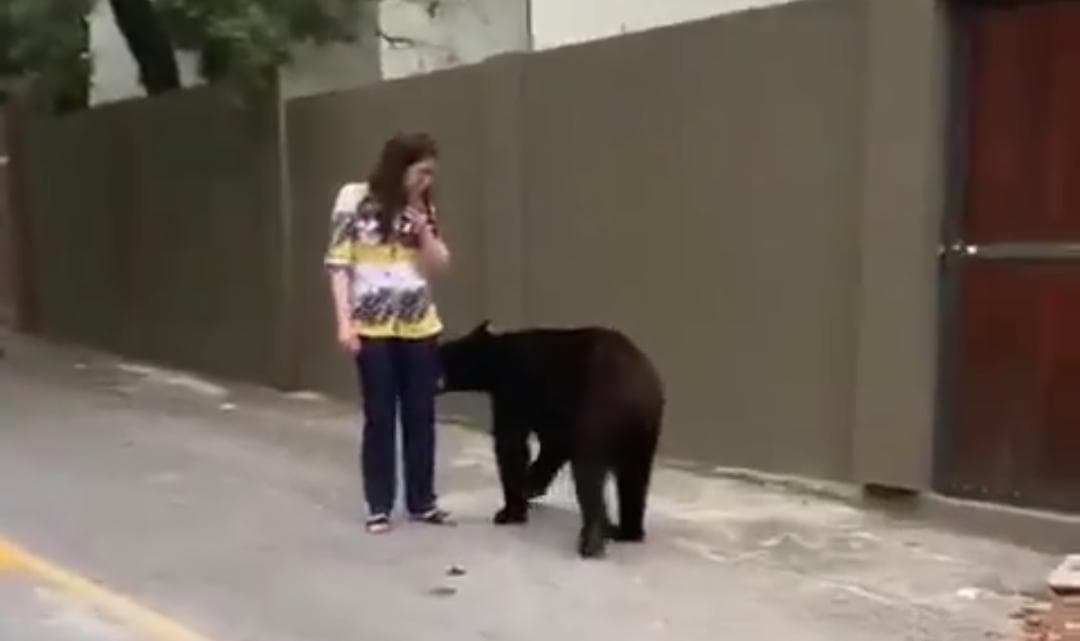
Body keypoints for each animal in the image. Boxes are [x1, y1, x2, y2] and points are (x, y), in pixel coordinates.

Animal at [437, 321, 664, 559]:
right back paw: (626, 531)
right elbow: (553, 445)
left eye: (443, 353)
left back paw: (592, 539)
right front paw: (529, 488)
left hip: (598, 411)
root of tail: (637, 392)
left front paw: (510, 511)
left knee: (589, 473)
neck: (498, 359)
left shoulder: (516, 389)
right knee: (634, 478)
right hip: (643, 433)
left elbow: (512, 445)